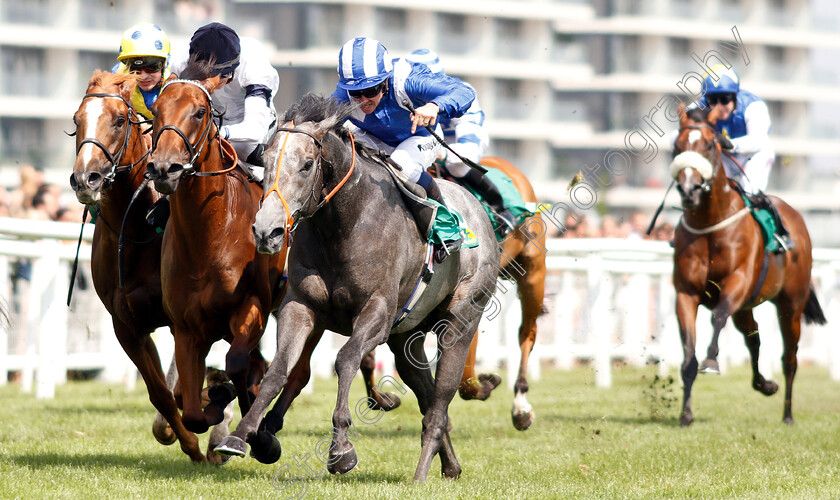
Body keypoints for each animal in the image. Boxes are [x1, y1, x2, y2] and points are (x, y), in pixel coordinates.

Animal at [67, 71, 235, 464]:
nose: (85, 179)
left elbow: (182, 387)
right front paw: (188, 441)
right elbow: (161, 393)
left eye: (118, 119)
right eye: (77, 120)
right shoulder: (127, 325)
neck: (136, 231)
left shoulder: (181, 318)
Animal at [217, 93, 502, 480]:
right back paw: (450, 465)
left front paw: (341, 448)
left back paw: (421, 473)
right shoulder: (300, 306)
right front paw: (243, 435)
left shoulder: (377, 312)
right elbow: (279, 369)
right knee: (426, 395)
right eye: (265, 161)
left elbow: (346, 358)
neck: (344, 224)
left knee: (441, 396)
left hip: (460, 320)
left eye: (307, 164)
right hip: (407, 338)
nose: (267, 230)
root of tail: (479, 211)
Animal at [360, 156, 548, 430]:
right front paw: (383, 399)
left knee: (527, 333)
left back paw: (521, 407)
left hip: (533, 273)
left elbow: (464, 379)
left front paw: (486, 383)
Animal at [668, 104, 828, 426]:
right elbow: (688, 357)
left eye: (708, 144)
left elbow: (718, 317)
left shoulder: (737, 282)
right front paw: (686, 414)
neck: (710, 223)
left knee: (790, 358)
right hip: (747, 306)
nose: (689, 190)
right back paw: (764, 384)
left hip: (790, 304)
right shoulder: (686, 293)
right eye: (676, 147)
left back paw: (788, 415)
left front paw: (712, 360)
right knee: (754, 339)